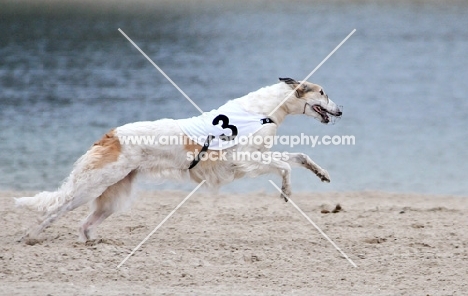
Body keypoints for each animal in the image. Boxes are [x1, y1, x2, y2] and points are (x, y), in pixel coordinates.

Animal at [16, 77, 342, 242]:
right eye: (323, 93)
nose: (340, 110)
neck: (262, 110)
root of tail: (110, 135)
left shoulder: (260, 155)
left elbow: (299, 156)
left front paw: (322, 173)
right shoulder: (245, 160)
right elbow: (285, 166)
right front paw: (286, 192)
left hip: (113, 196)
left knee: (84, 224)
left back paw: (91, 241)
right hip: (92, 186)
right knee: (55, 209)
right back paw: (32, 235)